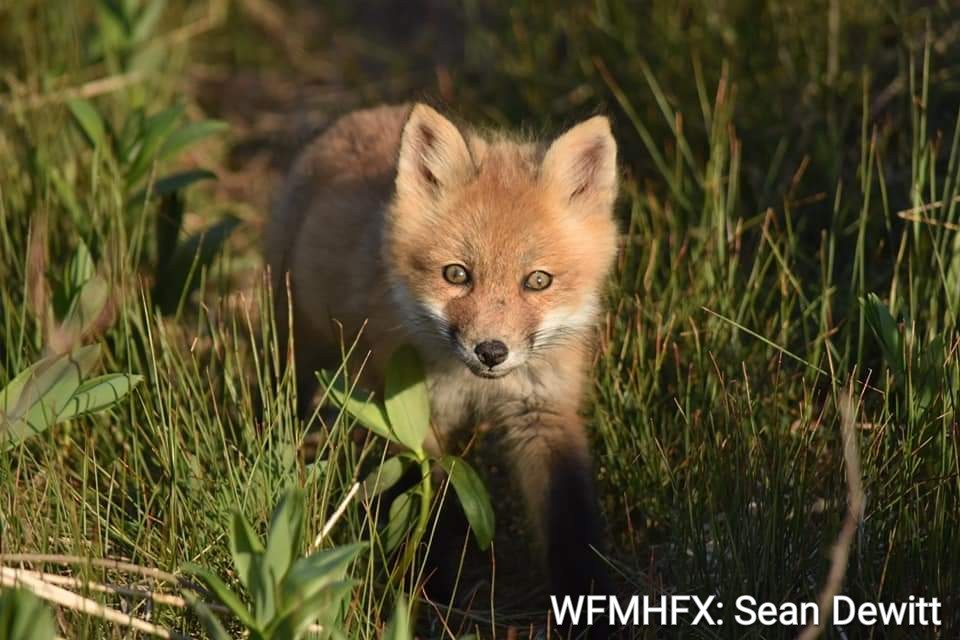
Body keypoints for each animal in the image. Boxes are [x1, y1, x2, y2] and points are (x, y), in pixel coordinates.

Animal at [266, 102, 619, 621]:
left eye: (538, 281)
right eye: (456, 274)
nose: (491, 351)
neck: (476, 386)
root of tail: (362, 114)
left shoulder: (543, 411)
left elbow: (568, 524)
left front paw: (588, 604)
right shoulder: (408, 419)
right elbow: (432, 509)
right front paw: (424, 594)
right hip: (299, 344)